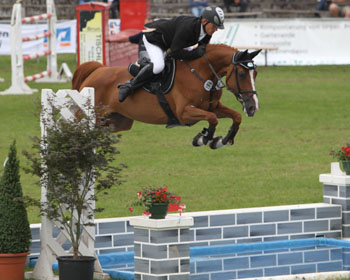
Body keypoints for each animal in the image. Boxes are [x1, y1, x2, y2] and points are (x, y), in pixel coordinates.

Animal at [73, 43, 260, 149]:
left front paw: (223, 140)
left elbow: (235, 116)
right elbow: (212, 119)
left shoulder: (212, 106)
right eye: (242, 74)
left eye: (256, 73)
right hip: (89, 118)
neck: (200, 73)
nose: (253, 107)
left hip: (115, 122)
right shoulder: (184, 113)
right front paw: (203, 138)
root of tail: (96, 70)